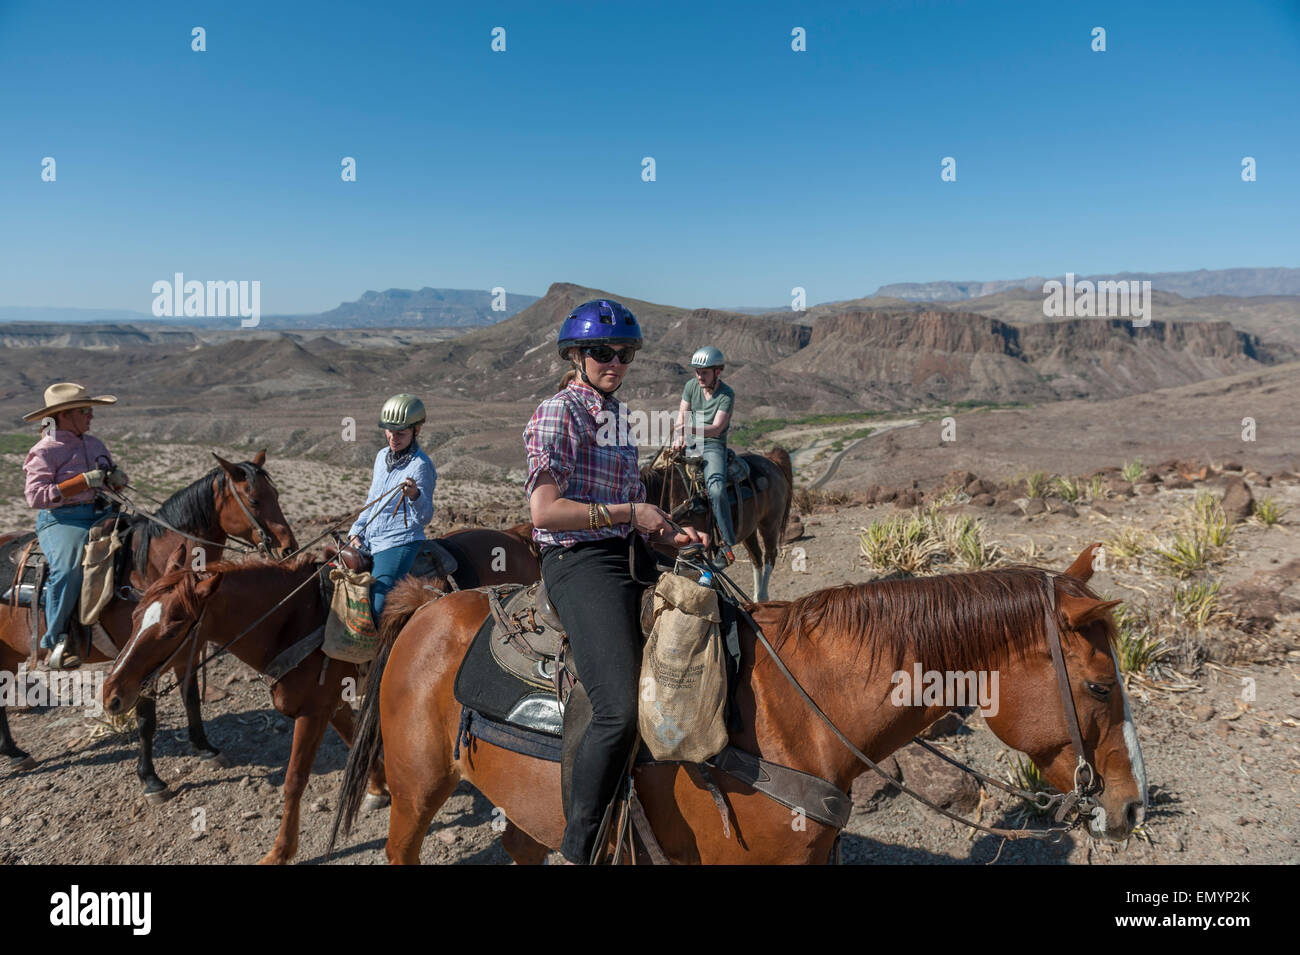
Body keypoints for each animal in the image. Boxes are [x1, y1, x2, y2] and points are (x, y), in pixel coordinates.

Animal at [0, 452, 297, 779]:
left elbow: (191, 698)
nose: (288, 548)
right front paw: (150, 777)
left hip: (9, 653)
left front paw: (205, 747)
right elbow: (145, 716)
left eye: (277, 495)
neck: (148, 566)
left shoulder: (183, 648)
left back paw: (14, 753)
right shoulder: (138, 654)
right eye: (254, 500)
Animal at [100, 522, 538, 867]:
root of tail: (515, 536)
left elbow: (295, 780)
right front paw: (377, 789)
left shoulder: (313, 710)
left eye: (173, 628)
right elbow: (351, 737)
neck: (293, 618)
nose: (111, 695)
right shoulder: (330, 701)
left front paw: (280, 851)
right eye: (134, 615)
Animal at [639, 446, 790, 597]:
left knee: (770, 555)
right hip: (749, 529)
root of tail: (771, 460)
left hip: (770, 523)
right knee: (756, 558)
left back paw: (762, 595)